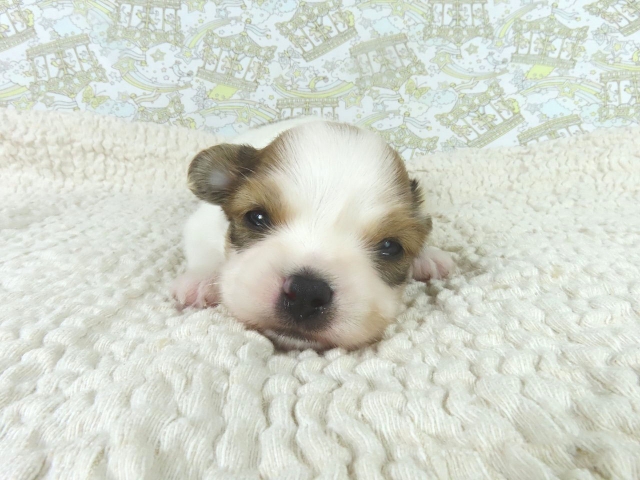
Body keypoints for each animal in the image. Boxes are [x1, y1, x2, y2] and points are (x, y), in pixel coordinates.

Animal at [172, 117, 454, 350]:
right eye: (257, 217)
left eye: (390, 246)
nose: (306, 293)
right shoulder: (202, 222)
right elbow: (203, 246)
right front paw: (202, 279)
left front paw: (428, 255)